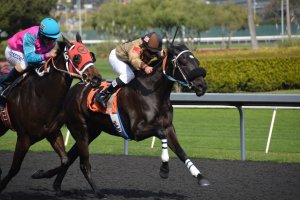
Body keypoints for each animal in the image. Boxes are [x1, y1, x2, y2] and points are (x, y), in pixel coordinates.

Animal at [0, 34, 101, 192]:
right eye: (77, 57)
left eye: (91, 55)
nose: (96, 78)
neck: (40, 96)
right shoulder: (24, 137)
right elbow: (15, 168)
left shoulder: (52, 132)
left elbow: (65, 160)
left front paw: (39, 173)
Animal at [33, 43, 209, 198]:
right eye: (183, 62)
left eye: (197, 61)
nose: (202, 86)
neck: (153, 94)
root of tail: (70, 93)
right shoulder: (136, 131)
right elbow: (160, 134)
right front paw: (164, 169)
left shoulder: (169, 126)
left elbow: (180, 151)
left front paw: (200, 177)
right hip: (80, 129)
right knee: (82, 163)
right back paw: (98, 192)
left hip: (92, 132)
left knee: (69, 157)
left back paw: (54, 184)